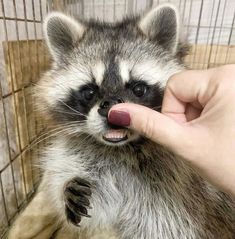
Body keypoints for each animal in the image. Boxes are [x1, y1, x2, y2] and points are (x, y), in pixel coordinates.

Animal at [22, 3, 235, 239]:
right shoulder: (84, 158)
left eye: (138, 88)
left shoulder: (176, 188)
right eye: (89, 92)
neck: (121, 149)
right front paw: (65, 190)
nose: (111, 107)